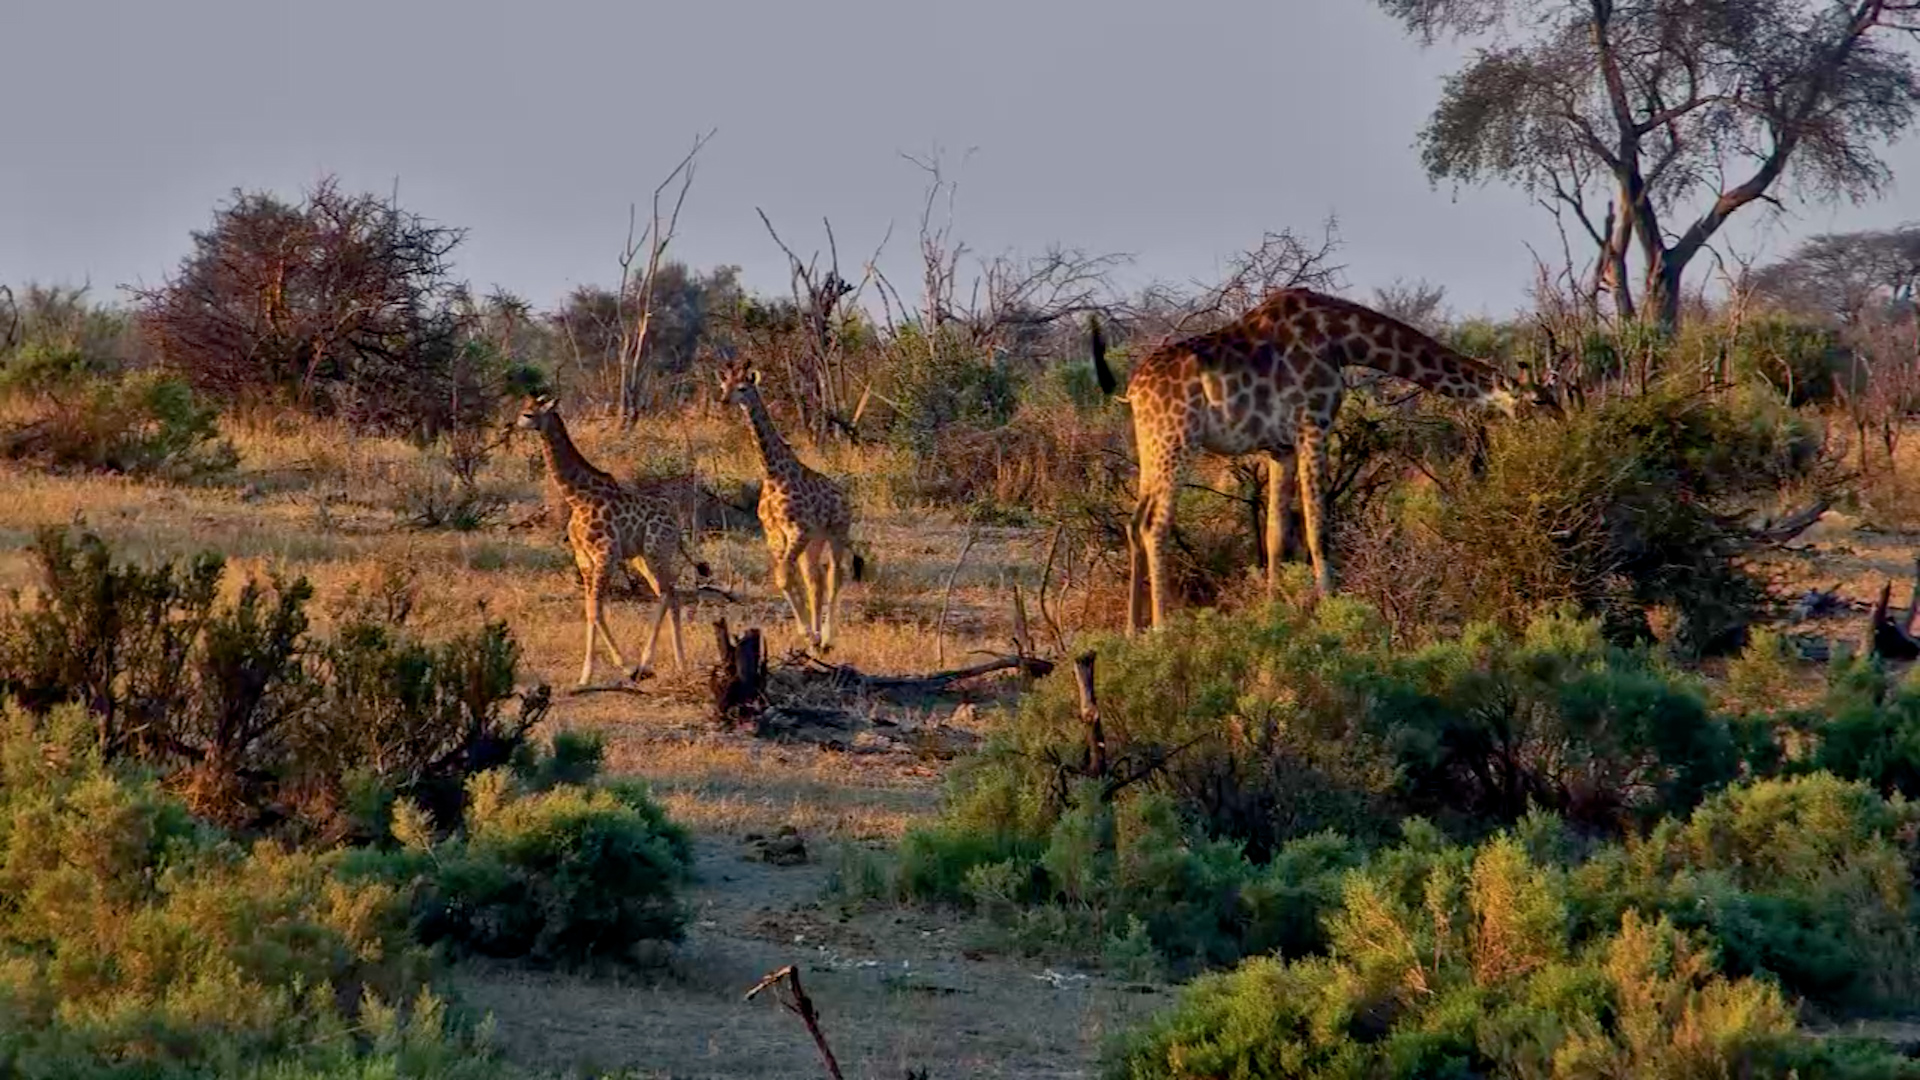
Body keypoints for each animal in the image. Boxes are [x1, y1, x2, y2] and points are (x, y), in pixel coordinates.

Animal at [515, 395, 711, 685]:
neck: (578, 497)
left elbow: (596, 610)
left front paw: (619, 668)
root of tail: (675, 525)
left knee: (667, 594)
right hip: (643, 558)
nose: (513, 425)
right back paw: (678, 664)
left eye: (528, 414)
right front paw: (587, 675)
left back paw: (647, 663)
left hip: (656, 550)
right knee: (671, 595)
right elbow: (590, 610)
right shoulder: (584, 559)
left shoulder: (606, 554)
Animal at [715, 359, 865, 651]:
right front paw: (807, 633)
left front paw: (809, 632)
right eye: (723, 385)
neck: (773, 473)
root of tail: (844, 495)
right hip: (815, 541)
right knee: (814, 579)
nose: (724, 401)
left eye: (742, 387)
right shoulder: (776, 535)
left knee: (835, 576)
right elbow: (784, 577)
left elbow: (785, 575)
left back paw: (827, 637)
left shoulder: (799, 530)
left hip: (837, 533)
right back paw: (818, 637)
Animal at [1090, 287, 1557, 633]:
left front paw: (1273, 610)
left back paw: (1131, 630)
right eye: (1538, 400)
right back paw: (1163, 627)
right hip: (1177, 441)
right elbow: (1318, 526)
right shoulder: (1314, 425)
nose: (1562, 424)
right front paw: (1331, 606)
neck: (1343, 339)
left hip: (1152, 447)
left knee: (1134, 522)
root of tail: (1133, 391)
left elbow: (1276, 533)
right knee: (1156, 525)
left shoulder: (1280, 447)